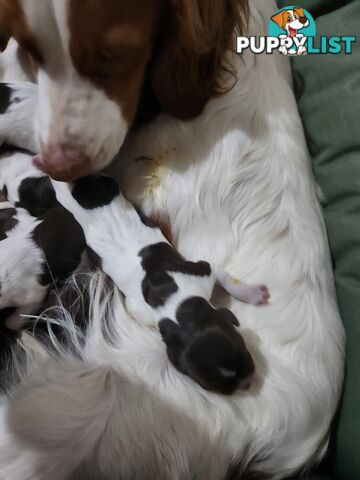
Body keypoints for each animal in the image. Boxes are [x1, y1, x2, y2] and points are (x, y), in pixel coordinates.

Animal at [52, 176, 268, 394]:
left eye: (244, 351)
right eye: (213, 387)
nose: (247, 383)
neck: (175, 306)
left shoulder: (201, 271)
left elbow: (227, 279)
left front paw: (254, 294)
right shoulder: (141, 311)